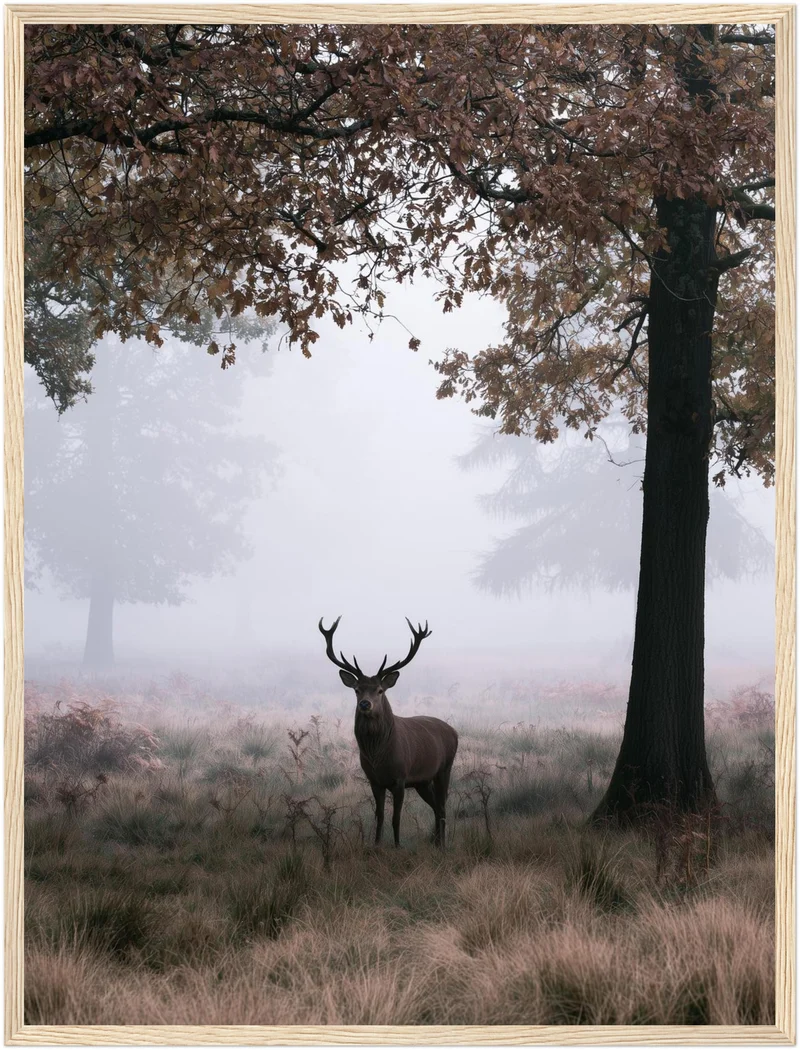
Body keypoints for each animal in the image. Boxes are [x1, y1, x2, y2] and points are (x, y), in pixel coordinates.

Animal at [319, 616, 458, 849]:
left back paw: (442, 844)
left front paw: (397, 845)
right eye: (357, 690)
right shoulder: (375, 780)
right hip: (422, 781)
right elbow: (380, 815)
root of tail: (454, 732)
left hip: (444, 768)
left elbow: (396, 816)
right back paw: (437, 842)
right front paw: (376, 844)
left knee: (443, 805)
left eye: (380, 690)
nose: (365, 704)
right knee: (436, 806)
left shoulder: (400, 777)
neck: (378, 755)